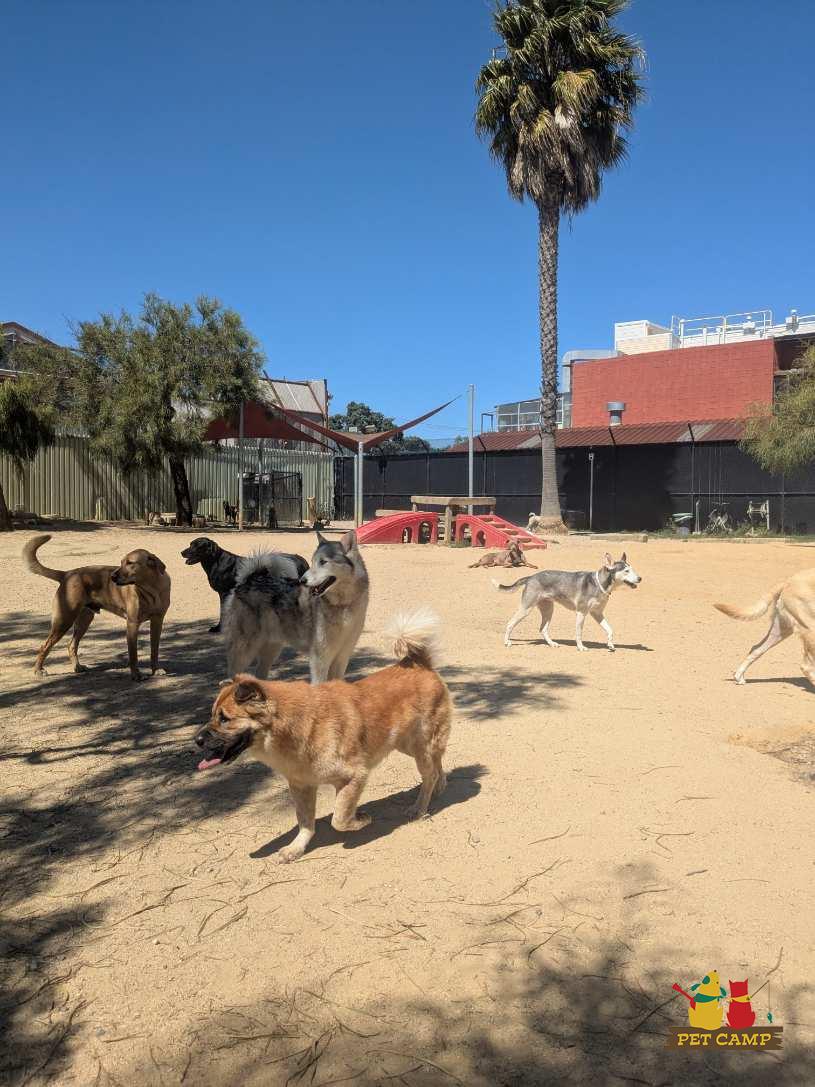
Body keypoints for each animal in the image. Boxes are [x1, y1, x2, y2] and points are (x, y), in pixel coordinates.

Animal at [24, 534, 171, 680]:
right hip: (64, 620)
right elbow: (133, 655)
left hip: (84, 620)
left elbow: (154, 650)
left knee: (71, 645)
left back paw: (77, 667)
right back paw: (38, 670)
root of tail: (67, 573)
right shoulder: (132, 624)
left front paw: (155, 669)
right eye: (121, 562)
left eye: (130, 563)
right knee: (45, 646)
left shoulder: (157, 621)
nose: (112, 576)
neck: (152, 590)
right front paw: (136, 674)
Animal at [195, 610, 451, 862]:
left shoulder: (354, 776)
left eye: (224, 718)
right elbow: (305, 822)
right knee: (437, 764)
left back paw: (420, 807)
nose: (197, 740)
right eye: (212, 715)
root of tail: (417, 663)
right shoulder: (301, 786)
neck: (295, 728)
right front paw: (296, 848)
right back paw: (440, 786)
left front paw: (361, 820)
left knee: (429, 774)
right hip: (406, 745)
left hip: (420, 745)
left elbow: (339, 818)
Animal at [222, 530, 369, 683]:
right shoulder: (320, 660)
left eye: (323, 562)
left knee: (259, 674)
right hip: (245, 650)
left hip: (271, 649)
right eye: (312, 562)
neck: (343, 605)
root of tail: (249, 579)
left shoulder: (342, 658)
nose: (302, 580)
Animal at [495, 552, 641, 651]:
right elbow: (579, 633)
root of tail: (531, 577)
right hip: (526, 609)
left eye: (632, 569)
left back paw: (552, 644)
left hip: (548, 610)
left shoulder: (597, 613)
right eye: (626, 571)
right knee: (510, 624)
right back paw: (507, 642)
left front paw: (610, 645)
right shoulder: (581, 613)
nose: (640, 578)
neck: (598, 583)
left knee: (543, 629)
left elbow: (609, 629)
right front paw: (581, 647)